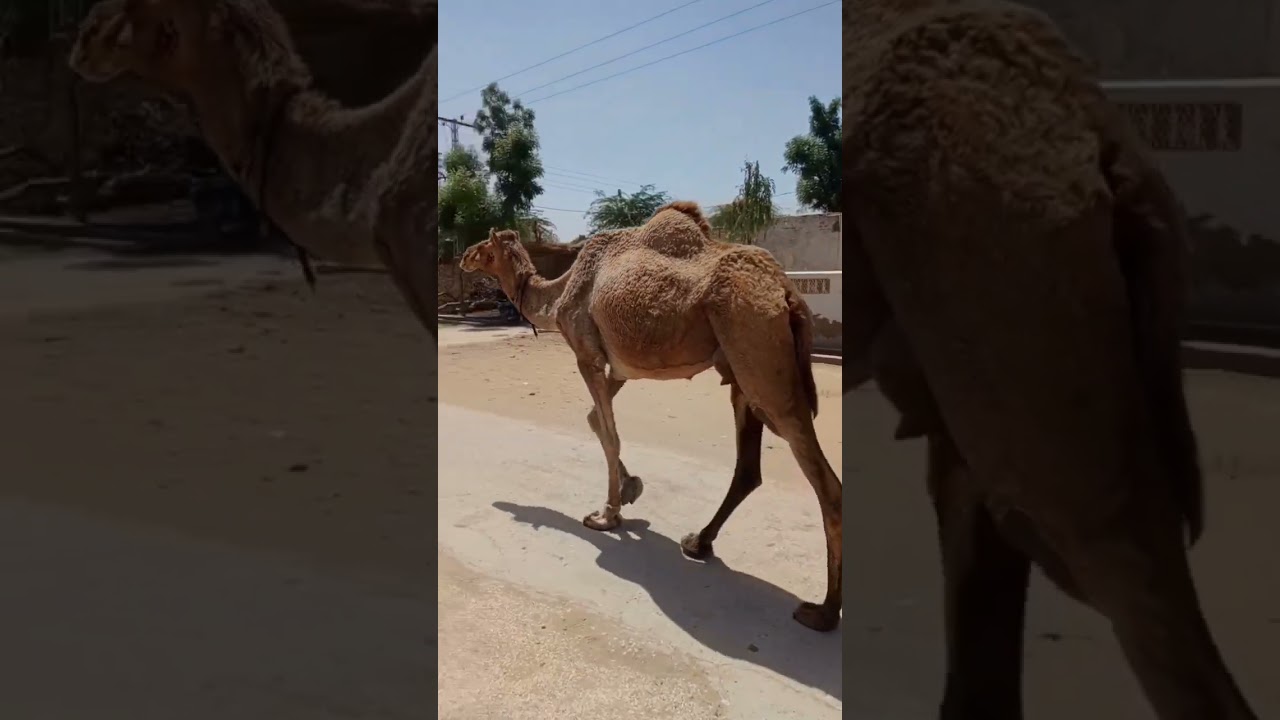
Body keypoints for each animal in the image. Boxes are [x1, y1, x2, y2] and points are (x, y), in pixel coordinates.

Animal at [458, 203, 843, 632]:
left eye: (483, 247)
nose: (462, 257)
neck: (561, 293)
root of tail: (788, 293)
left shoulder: (587, 354)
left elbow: (609, 433)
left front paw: (606, 515)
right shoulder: (620, 367)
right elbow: (595, 419)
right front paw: (631, 489)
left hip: (759, 352)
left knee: (823, 481)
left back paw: (823, 611)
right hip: (742, 371)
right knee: (748, 468)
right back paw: (698, 542)